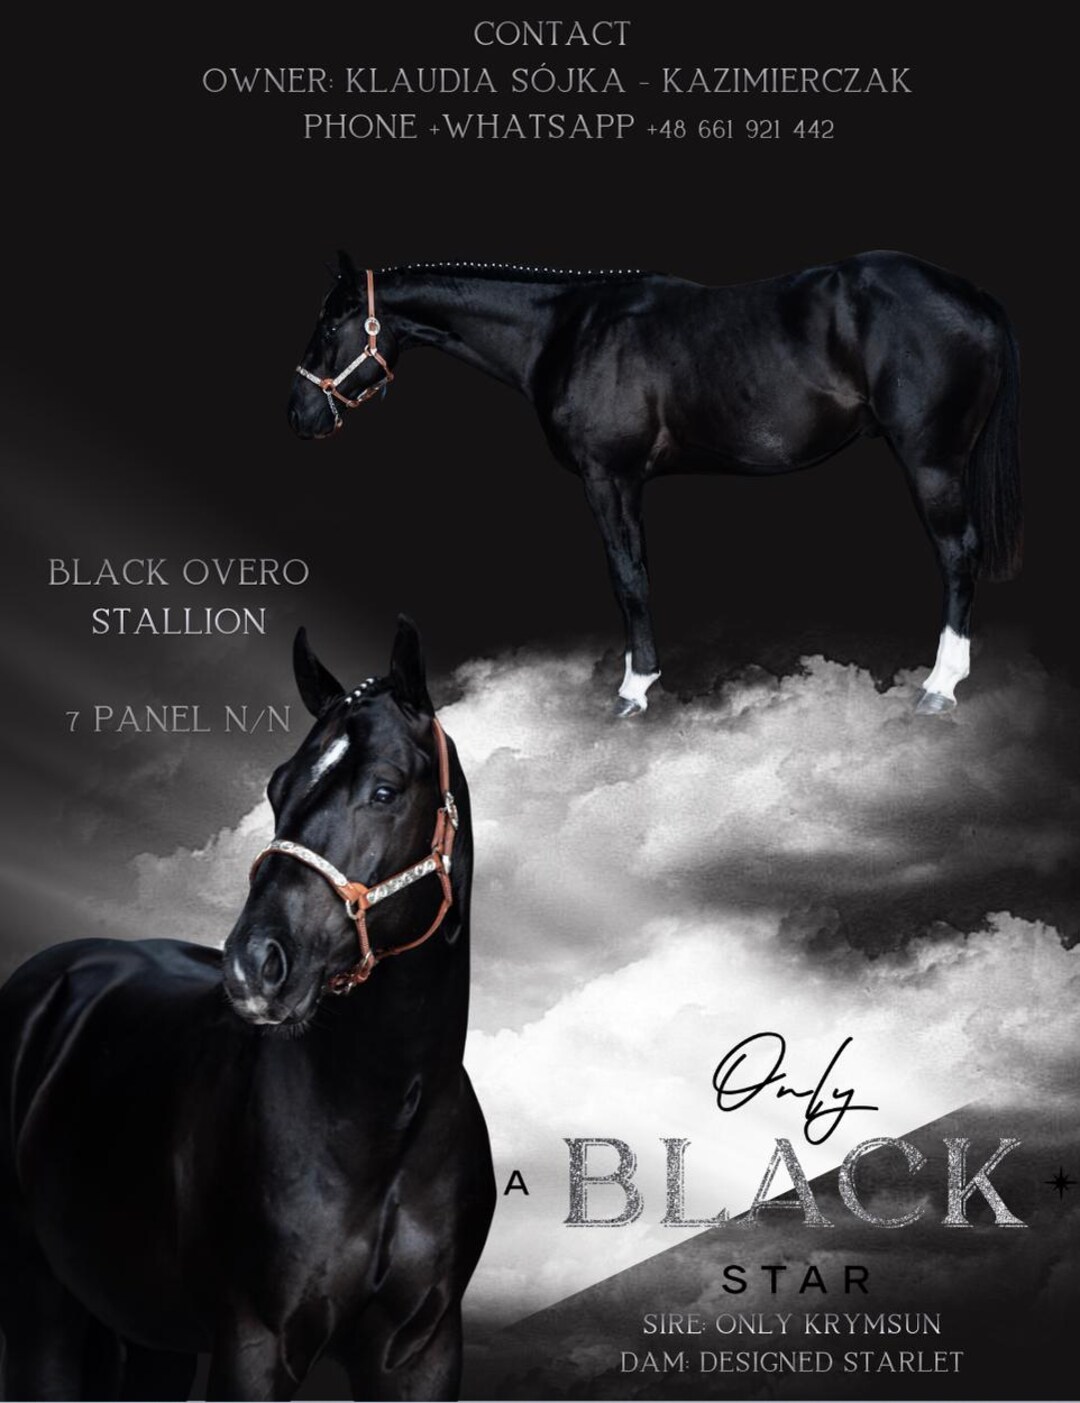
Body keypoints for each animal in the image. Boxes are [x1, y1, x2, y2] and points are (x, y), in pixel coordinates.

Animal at [0, 618, 495, 1401]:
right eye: (275, 786)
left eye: (385, 789)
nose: (254, 965)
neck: (386, 1125)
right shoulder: (255, 1346)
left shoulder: (422, 1350)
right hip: (39, 1297)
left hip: (150, 1335)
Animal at [288, 252, 1021, 717]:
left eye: (332, 323)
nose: (300, 415)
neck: (563, 331)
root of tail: (976, 296)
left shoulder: (608, 478)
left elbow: (629, 577)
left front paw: (634, 689)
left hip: (931, 461)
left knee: (958, 554)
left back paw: (940, 686)